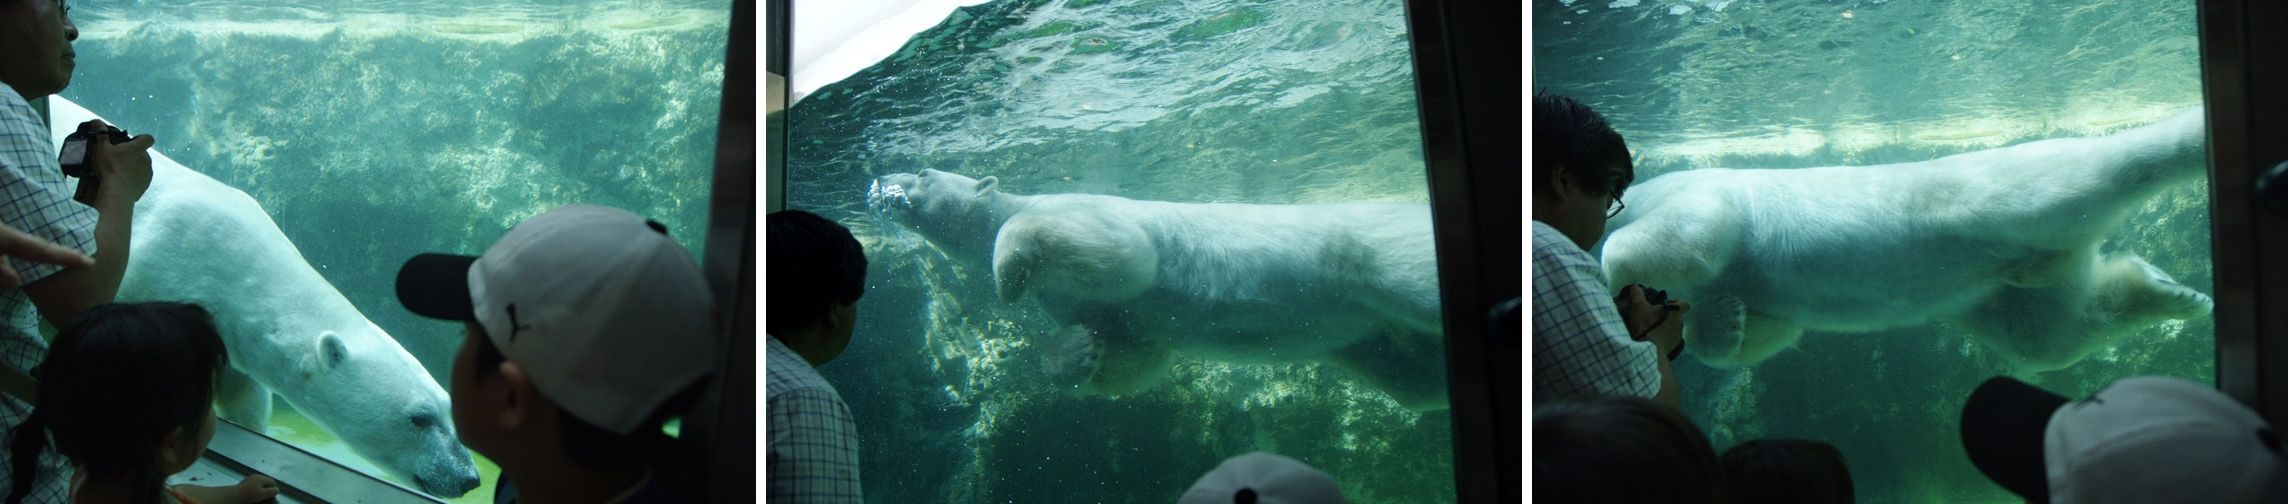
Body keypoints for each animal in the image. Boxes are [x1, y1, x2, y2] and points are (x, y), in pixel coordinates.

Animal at [48, 97, 482, 497]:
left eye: (446, 408)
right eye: (419, 418)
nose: (468, 478)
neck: (235, 269)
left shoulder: (230, 329)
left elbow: (244, 396)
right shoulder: (152, 267)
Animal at [864, 168, 1436, 410]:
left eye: (923, 171)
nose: (880, 184)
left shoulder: (1081, 211)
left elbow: (1126, 256)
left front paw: (1005, 278)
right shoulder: (1077, 305)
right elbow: (1132, 351)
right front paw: (1077, 351)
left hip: (1370, 251)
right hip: (1366, 335)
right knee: (1411, 378)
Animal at [1610, 108, 2214, 371]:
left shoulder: (1699, 192)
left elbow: (1685, 234)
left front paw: (1622, 284)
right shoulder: (1751, 285)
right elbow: (1766, 326)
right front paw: (1727, 324)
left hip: (1990, 196)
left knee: (2082, 176)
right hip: (1994, 291)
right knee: (2044, 332)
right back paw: (2172, 292)